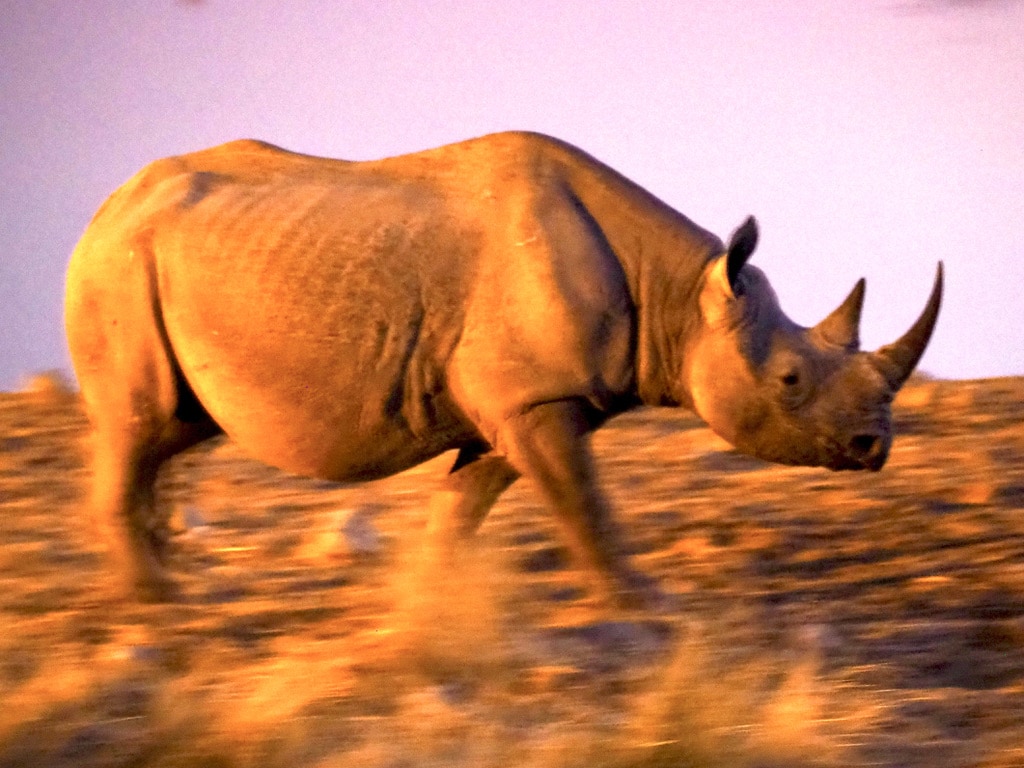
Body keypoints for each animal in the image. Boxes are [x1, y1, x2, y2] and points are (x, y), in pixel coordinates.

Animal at [64, 132, 942, 606]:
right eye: (791, 380)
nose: (873, 449)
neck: (681, 294)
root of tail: (104, 208)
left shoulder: (514, 405)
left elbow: (465, 506)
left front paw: (428, 600)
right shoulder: (534, 398)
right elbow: (583, 503)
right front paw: (644, 604)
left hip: (156, 262)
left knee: (174, 429)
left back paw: (168, 581)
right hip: (118, 266)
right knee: (140, 423)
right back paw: (158, 603)